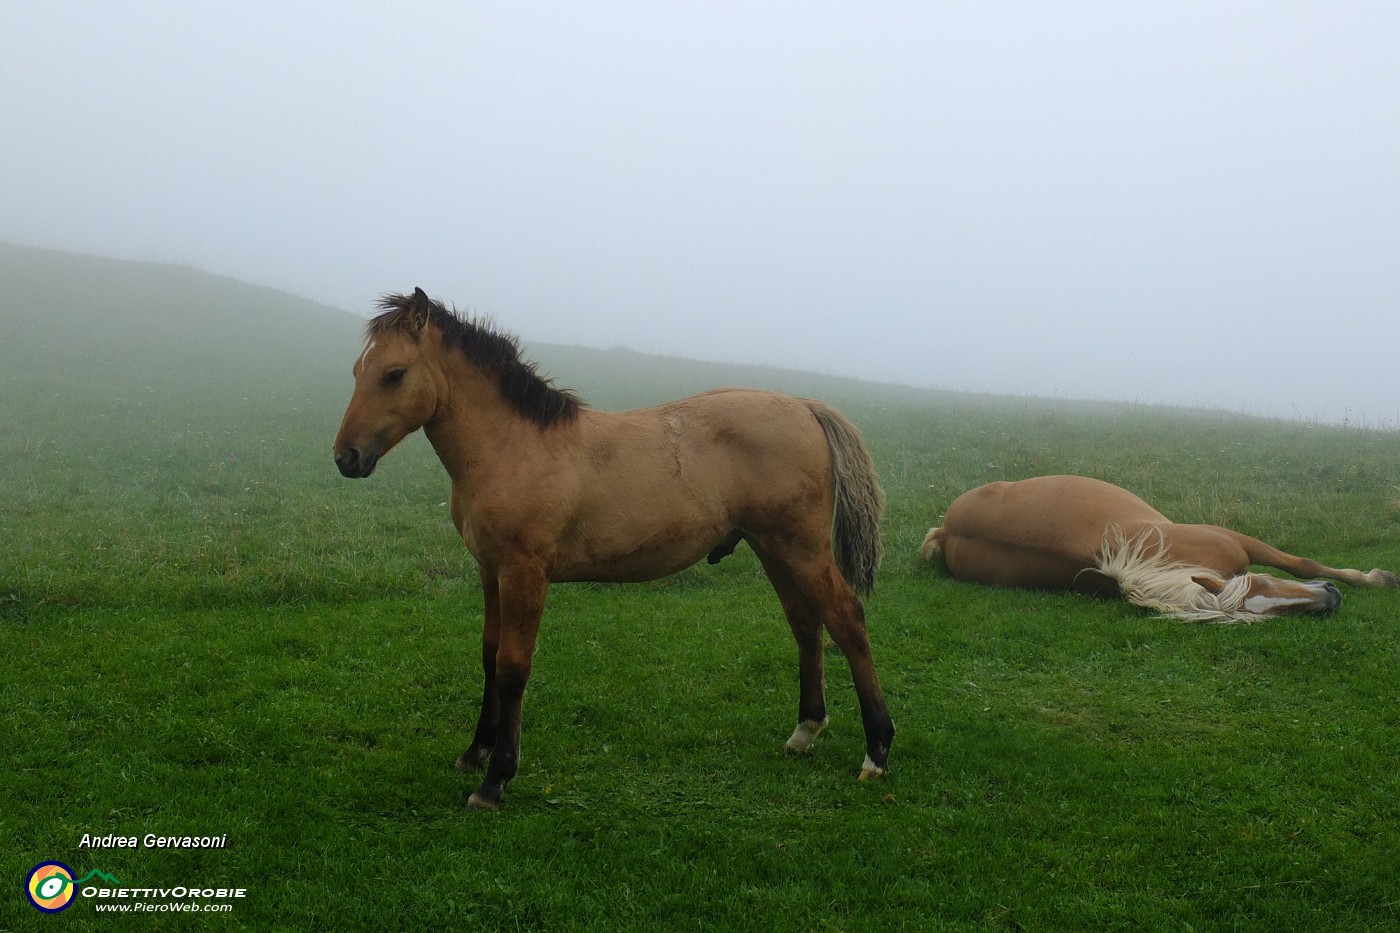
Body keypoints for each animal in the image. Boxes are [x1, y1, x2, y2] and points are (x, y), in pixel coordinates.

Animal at [333, 287, 890, 801]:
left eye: (394, 373)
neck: (513, 447)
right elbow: (490, 654)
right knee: (806, 624)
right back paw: (804, 732)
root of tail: (805, 406)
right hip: (774, 549)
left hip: (802, 550)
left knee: (847, 621)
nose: (346, 457)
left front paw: (496, 780)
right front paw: (475, 753)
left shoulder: (524, 573)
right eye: (357, 370)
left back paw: (877, 752)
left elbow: (514, 666)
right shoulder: (489, 570)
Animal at [924, 476, 1394, 622]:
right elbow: (1302, 562)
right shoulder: (1237, 540)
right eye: (1258, 589)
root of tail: (947, 531)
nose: (1332, 600)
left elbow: (1301, 562)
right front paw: (1377, 578)